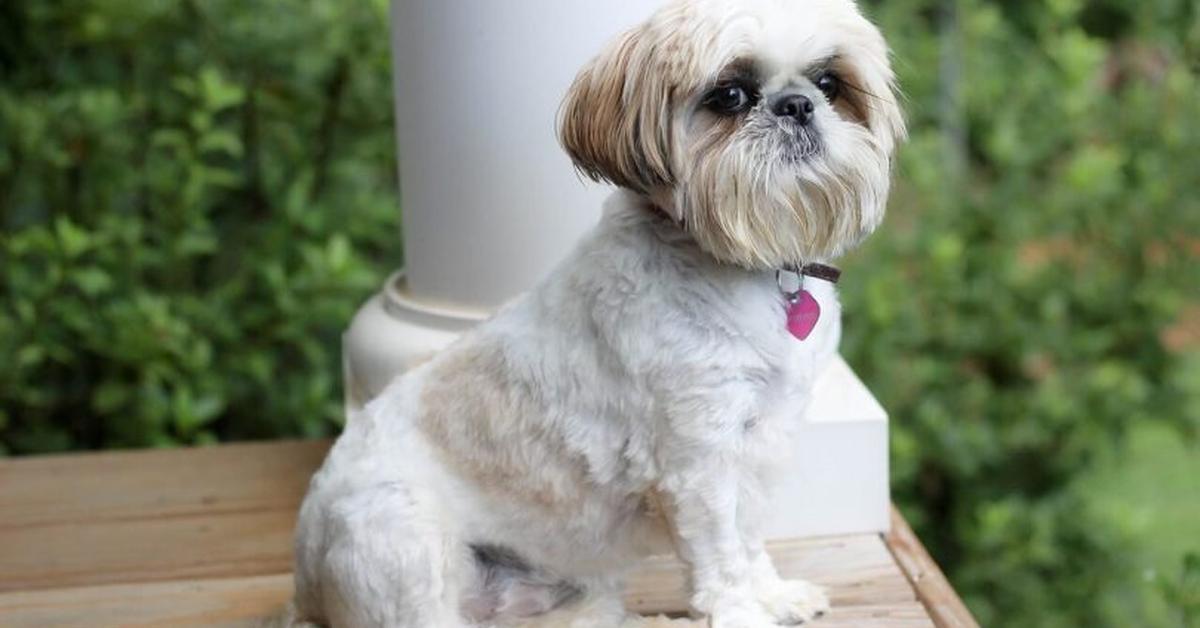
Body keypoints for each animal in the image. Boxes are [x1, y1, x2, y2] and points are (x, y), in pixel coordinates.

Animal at [292, 0, 902, 624]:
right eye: (730, 95)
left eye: (829, 83)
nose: (798, 104)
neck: (742, 262)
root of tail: (306, 578)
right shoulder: (699, 458)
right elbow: (723, 551)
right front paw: (742, 611)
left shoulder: (762, 441)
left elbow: (750, 535)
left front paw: (774, 594)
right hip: (401, 531)